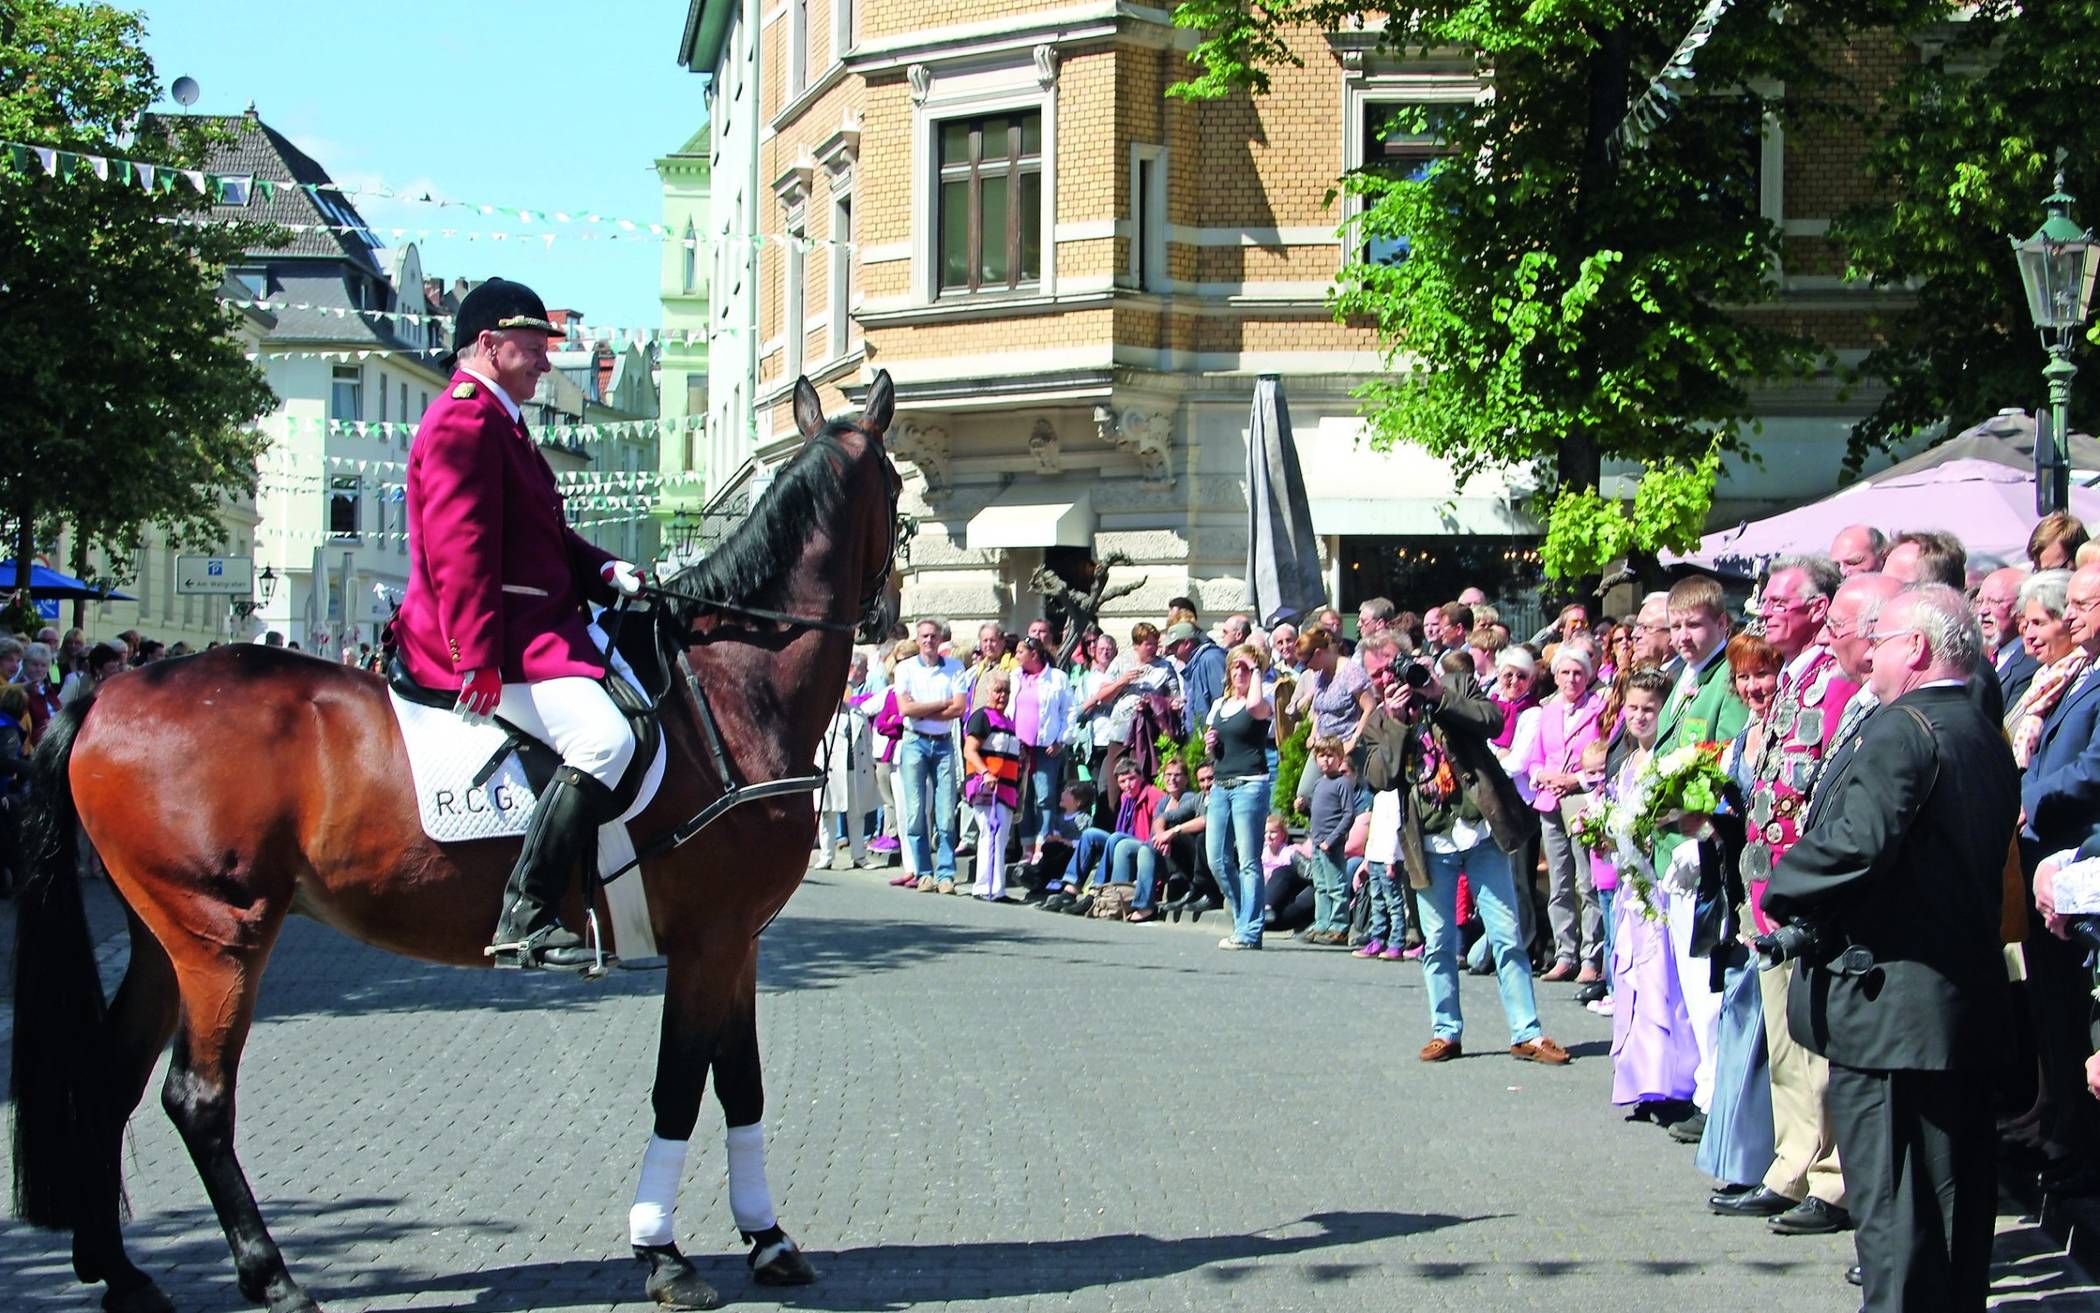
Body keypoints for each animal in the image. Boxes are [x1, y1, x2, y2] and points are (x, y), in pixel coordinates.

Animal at [14, 371, 902, 1310]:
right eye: (897, 486)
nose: (891, 614)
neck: (730, 691)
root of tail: (110, 693)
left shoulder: (737, 941)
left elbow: (740, 1085)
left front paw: (768, 1238)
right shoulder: (708, 940)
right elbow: (678, 1090)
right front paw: (663, 1253)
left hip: (164, 938)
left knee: (110, 1076)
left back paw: (122, 1271)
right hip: (223, 939)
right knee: (197, 1096)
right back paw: (273, 1274)